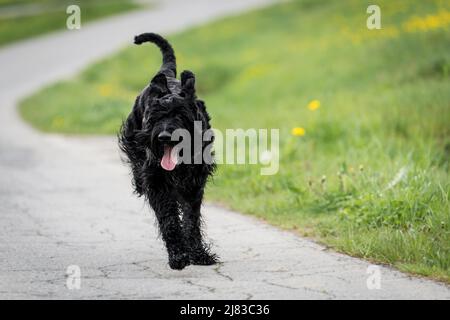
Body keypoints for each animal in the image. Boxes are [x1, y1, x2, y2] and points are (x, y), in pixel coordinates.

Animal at [118, 33, 217, 270]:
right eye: (155, 116)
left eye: (180, 114)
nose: (163, 136)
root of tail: (166, 74)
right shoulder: (157, 184)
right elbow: (169, 219)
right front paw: (178, 255)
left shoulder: (193, 185)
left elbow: (191, 219)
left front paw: (198, 253)